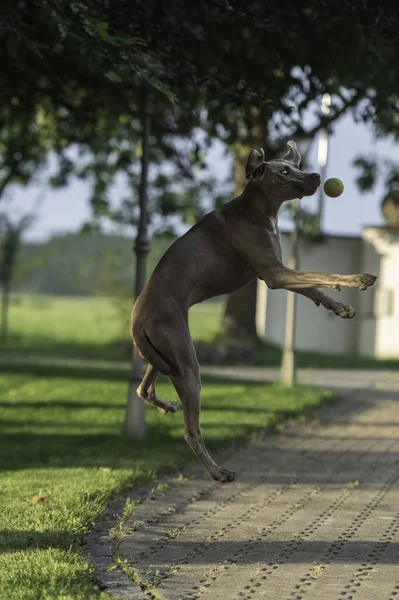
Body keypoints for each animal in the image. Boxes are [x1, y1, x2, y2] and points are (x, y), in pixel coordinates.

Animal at [131, 141, 378, 482]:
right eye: (285, 171)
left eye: (296, 166)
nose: (315, 176)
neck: (260, 209)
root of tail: (136, 318)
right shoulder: (275, 274)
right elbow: (322, 274)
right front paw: (357, 280)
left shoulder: (273, 274)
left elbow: (313, 287)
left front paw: (339, 307)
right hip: (185, 358)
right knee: (191, 431)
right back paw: (218, 472)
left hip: (164, 353)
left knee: (143, 387)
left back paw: (165, 405)